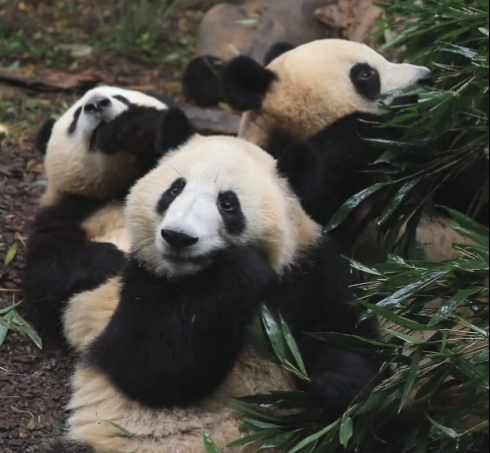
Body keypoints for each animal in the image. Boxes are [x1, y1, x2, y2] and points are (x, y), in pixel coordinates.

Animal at [22, 85, 180, 340]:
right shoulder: (67, 211)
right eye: (76, 115)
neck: (119, 188)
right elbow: (43, 273)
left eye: (121, 97)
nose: (96, 104)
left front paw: (121, 129)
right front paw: (111, 257)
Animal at [45, 108, 382, 452]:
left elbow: (346, 334)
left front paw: (335, 387)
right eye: (174, 190)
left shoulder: (309, 268)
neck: (195, 279)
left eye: (228, 203)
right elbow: (152, 366)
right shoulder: (142, 281)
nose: (178, 237)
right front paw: (243, 268)